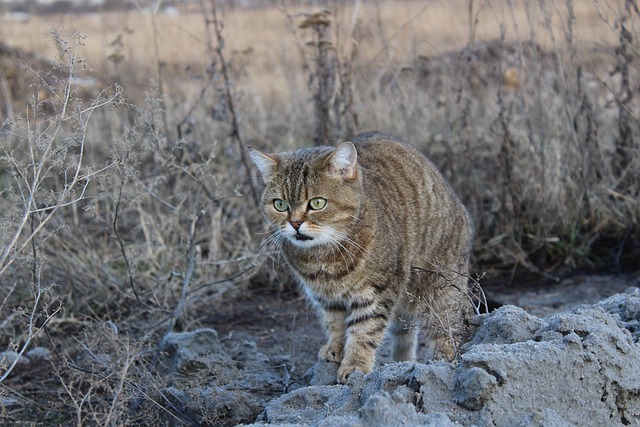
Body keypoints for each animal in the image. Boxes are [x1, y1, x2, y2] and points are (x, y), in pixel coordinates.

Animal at [250, 132, 476, 382]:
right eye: (280, 204)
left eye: (317, 203)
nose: (295, 223)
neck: (323, 257)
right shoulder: (325, 297)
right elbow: (334, 324)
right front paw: (335, 348)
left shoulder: (376, 292)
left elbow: (364, 330)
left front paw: (355, 364)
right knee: (405, 333)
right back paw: (401, 364)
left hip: (440, 292)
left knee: (448, 331)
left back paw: (442, 363)